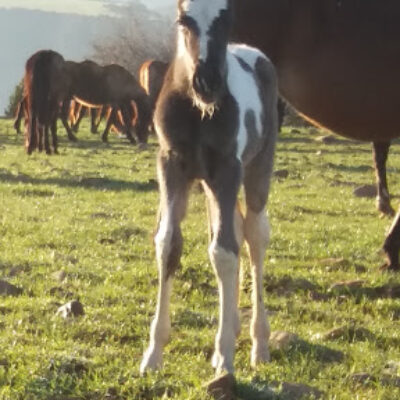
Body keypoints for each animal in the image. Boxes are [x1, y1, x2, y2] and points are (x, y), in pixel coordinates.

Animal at [141, 0, 278, 376]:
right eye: (183, 20)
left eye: (228, 18)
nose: (207, 82)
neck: (195, 109)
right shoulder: (171, 165)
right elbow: (168, 243)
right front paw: (153, 354)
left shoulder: (229, 168)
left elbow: (224, 252)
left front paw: (226, 356)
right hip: (208, 183)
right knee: (233, 229)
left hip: (255, 168)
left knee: (254, 236)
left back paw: (259, 344)